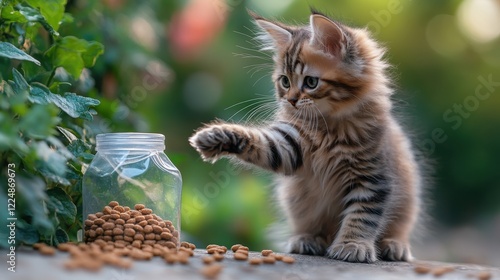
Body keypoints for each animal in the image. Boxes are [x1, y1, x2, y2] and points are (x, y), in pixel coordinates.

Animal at [188, 11, 422, 262]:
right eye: (285, 81)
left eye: (311, 82)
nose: (290, 100)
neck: (330, 128)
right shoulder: (289, 145)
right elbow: (262, 142)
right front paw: (213, 136)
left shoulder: (372, 176)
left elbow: (362, 215)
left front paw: (352, 245)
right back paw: (307, 240)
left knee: (397, 229)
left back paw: (394, 245)